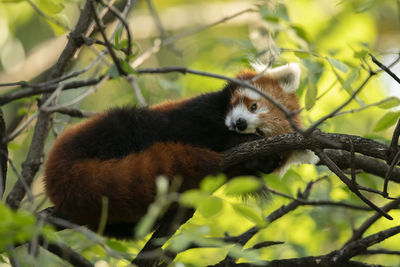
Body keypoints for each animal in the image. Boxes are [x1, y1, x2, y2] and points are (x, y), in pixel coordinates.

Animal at [43, 62, 312, 237]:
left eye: (261, 133)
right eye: (253, 106)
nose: (240, 124)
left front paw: (261, 160)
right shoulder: (196, 111)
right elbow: (186, 129)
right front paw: (233, 142)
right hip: (109, 129)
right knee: (138, 125)